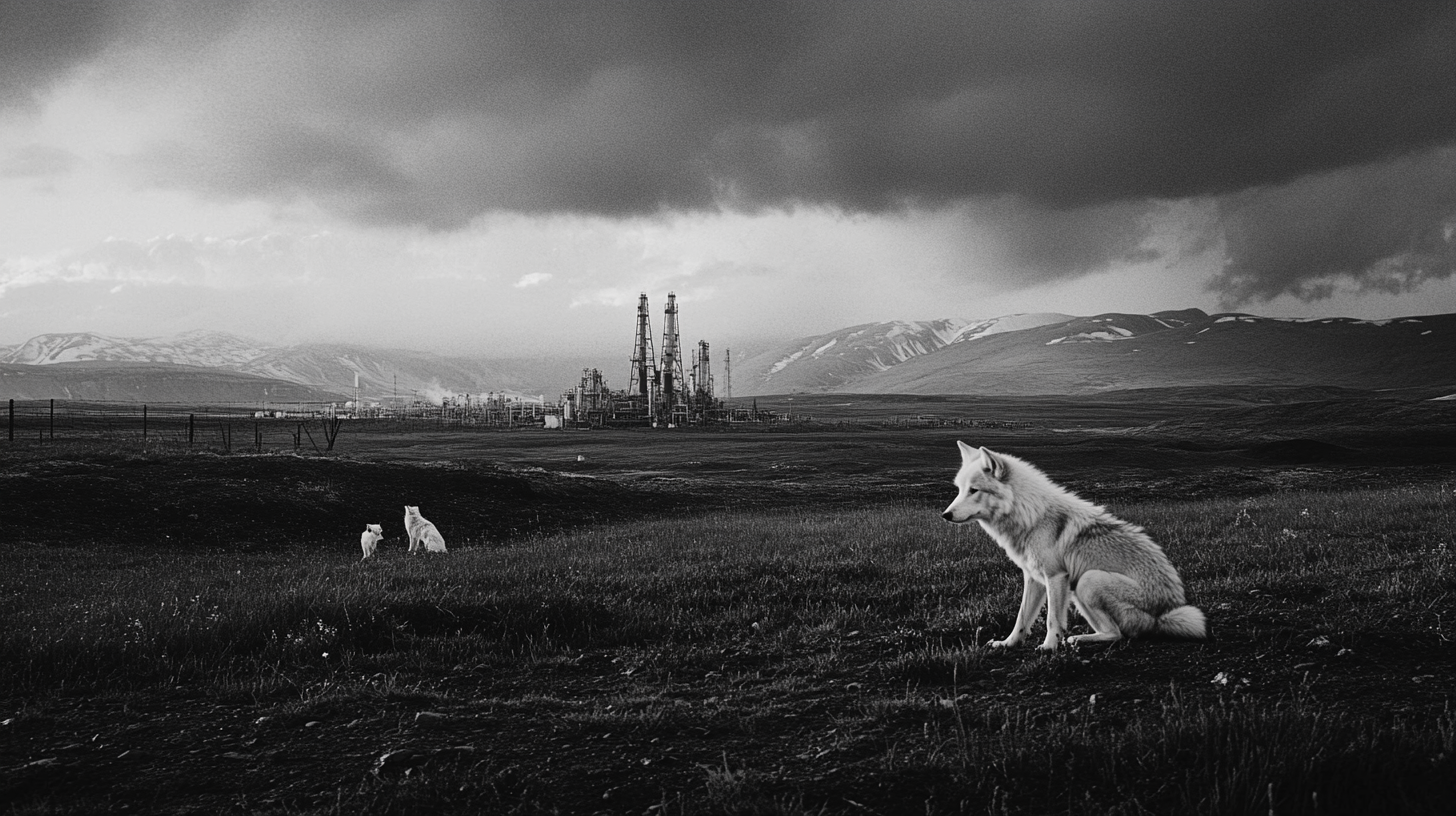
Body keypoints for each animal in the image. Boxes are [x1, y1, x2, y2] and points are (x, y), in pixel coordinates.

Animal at [943, 440, 1205, 649]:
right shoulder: (1033, 578)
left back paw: (1079, 640)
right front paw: (1007, 644)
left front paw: (1049, 648)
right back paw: (1079, 638)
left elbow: (1052, 620)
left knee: (1117, 634)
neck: (1031, 516)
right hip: (1078, 589)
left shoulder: (1055, 576)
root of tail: (1165, 615)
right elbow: (1021, 619)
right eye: (959, 490)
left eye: (974, 490)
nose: (945, 515)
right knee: (1113, 631)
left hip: (1088, 580)